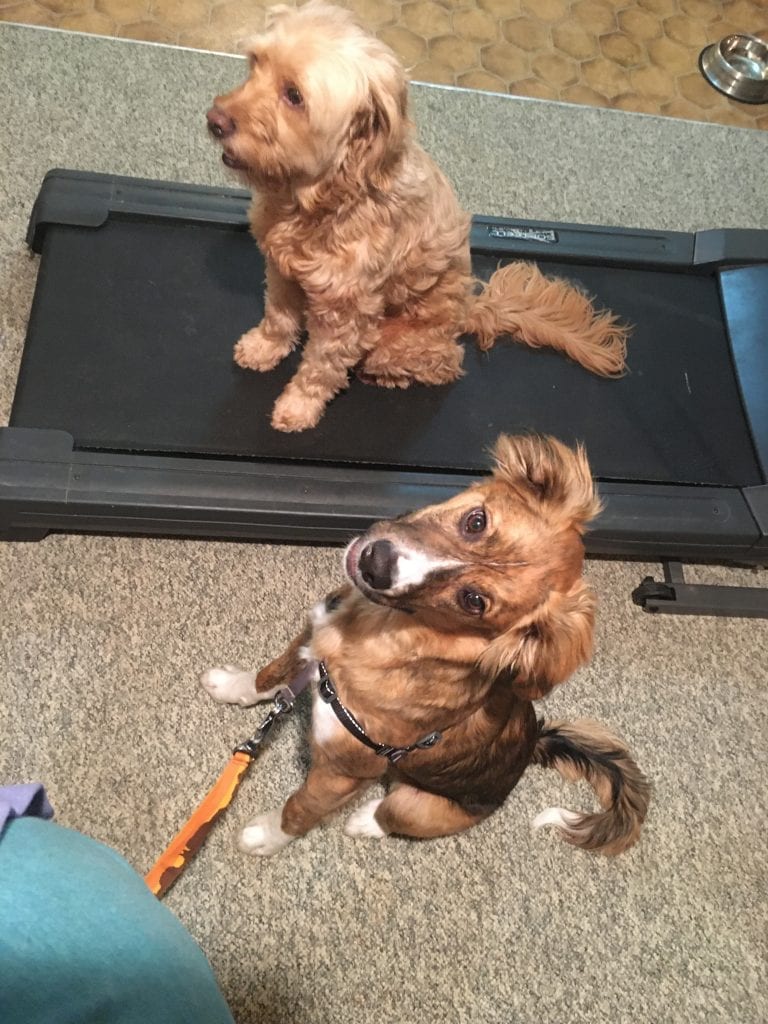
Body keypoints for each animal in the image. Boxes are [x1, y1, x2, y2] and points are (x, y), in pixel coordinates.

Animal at [202, 434, 650, 856]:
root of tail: (534, 743)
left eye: (474, 600)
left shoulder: (344, 771)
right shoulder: (312, 636)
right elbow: (271, 675)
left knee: (390, 812)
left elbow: (301, 808)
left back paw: (364, 820)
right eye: (475, 522)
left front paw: (267, 837)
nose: (375, 563)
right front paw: (232, 685)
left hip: (415, 806)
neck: (368, 631)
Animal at [206, 1, 629, 433]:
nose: (215, 120)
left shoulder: (349, 315)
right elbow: (278, 316)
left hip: (393, 343)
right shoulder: (281, 269)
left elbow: (321, 367)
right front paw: (264, 347)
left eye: (294, 95)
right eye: (255, 63)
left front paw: (299, 405)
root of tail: (470, 311)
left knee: (441, 364)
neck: (324, 197)